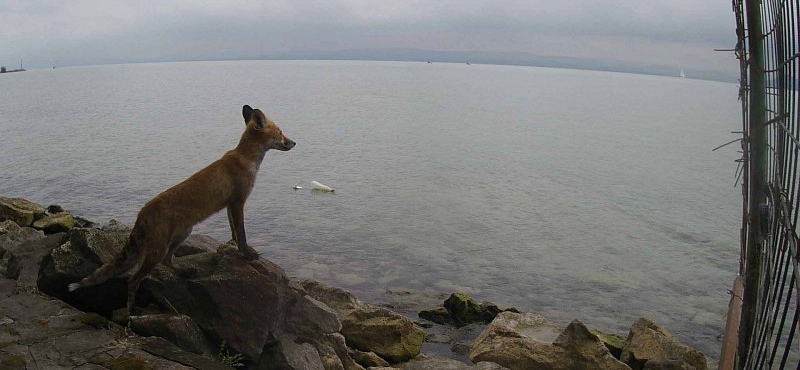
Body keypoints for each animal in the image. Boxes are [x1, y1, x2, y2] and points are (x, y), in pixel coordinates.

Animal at [68, 105, 294, 318]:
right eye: (280, 132)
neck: (245, 159)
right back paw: (131, 311)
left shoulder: (231, 205)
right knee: (133, 280)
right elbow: (242, 234)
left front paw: (237, 249)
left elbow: (234, 233)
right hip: (157, 250)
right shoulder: (238, 202)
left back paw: (186, 272)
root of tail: (142, 213)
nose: (294, 143)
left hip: (183, 234)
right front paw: (247, 255)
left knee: (168, 260)